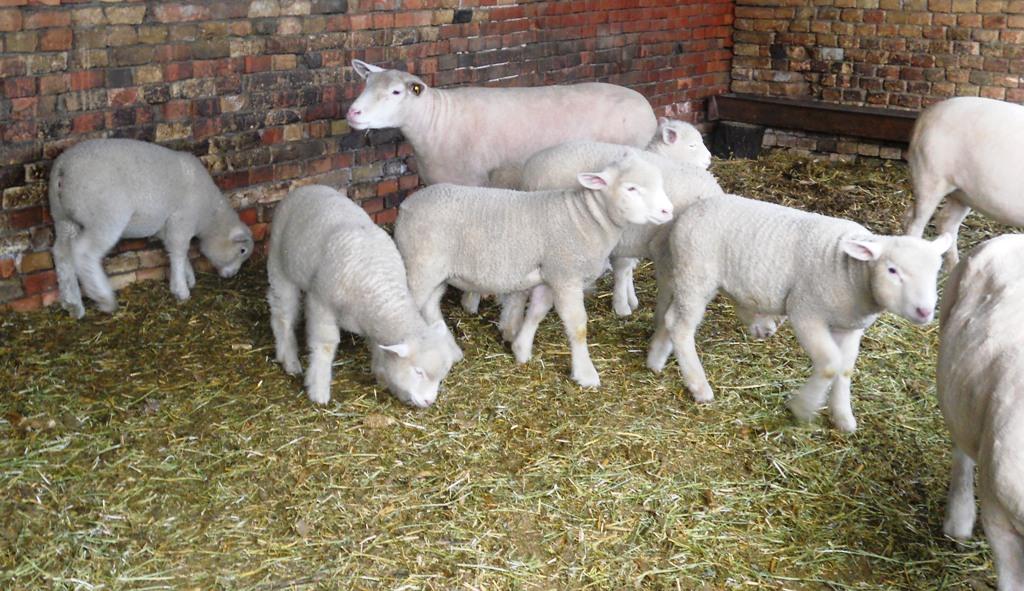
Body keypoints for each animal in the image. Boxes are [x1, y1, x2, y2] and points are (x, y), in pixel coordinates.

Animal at [49, 138, 253, 319]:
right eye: (242, 251)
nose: (232, 274)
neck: (209, 215)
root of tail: (63, 166)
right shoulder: (182, 220)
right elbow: (179, 252)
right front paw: (181, 289)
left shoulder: (167, 227)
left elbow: (174, 252)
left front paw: (187, 277)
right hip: (105, 216)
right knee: (84, 252)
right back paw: (103, 298)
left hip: (63, 218)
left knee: (61, 253)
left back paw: (72, 303)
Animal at [266, 185, 462, 408]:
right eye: (418, 372)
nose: (429, 401)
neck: (378, 285)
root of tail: (307, 187)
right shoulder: (322, 304)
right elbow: (325, 346)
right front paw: (318, 390)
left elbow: (379, 348)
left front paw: (384, 377)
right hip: (279, 263)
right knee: (282, 314)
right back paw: (289, 359)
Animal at [346, 60, 657, 187]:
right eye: (366, 83)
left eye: (396, 92)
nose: (352, 113)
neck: (436, 122)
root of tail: (646, 107)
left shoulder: (473, 183)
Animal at [393, 154, 673, 388]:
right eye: (631, 188)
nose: (667, 210)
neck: (586, 219)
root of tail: (406, 206)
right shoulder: (566, 275)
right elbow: (577, 325)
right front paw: (586, 374)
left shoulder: (550, 275)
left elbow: (537, 311)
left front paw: (521, 350)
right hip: (420, 265)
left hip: (436, 271)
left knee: (430, 307)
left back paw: (450, 352)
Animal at [648, 192, 952, 432]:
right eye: (892, 270)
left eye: (937, 270)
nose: (925, 311)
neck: (852, 274)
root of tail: (691, 209)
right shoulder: (806, 312)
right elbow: (829, 364)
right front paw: (802, 408)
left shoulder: (850, 326)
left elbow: (845, 369)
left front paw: (843, 417)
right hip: (697, 274)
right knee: (680, 325)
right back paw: (699, 386)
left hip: (694, 276)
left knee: (672, 314)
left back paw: (657, 358)